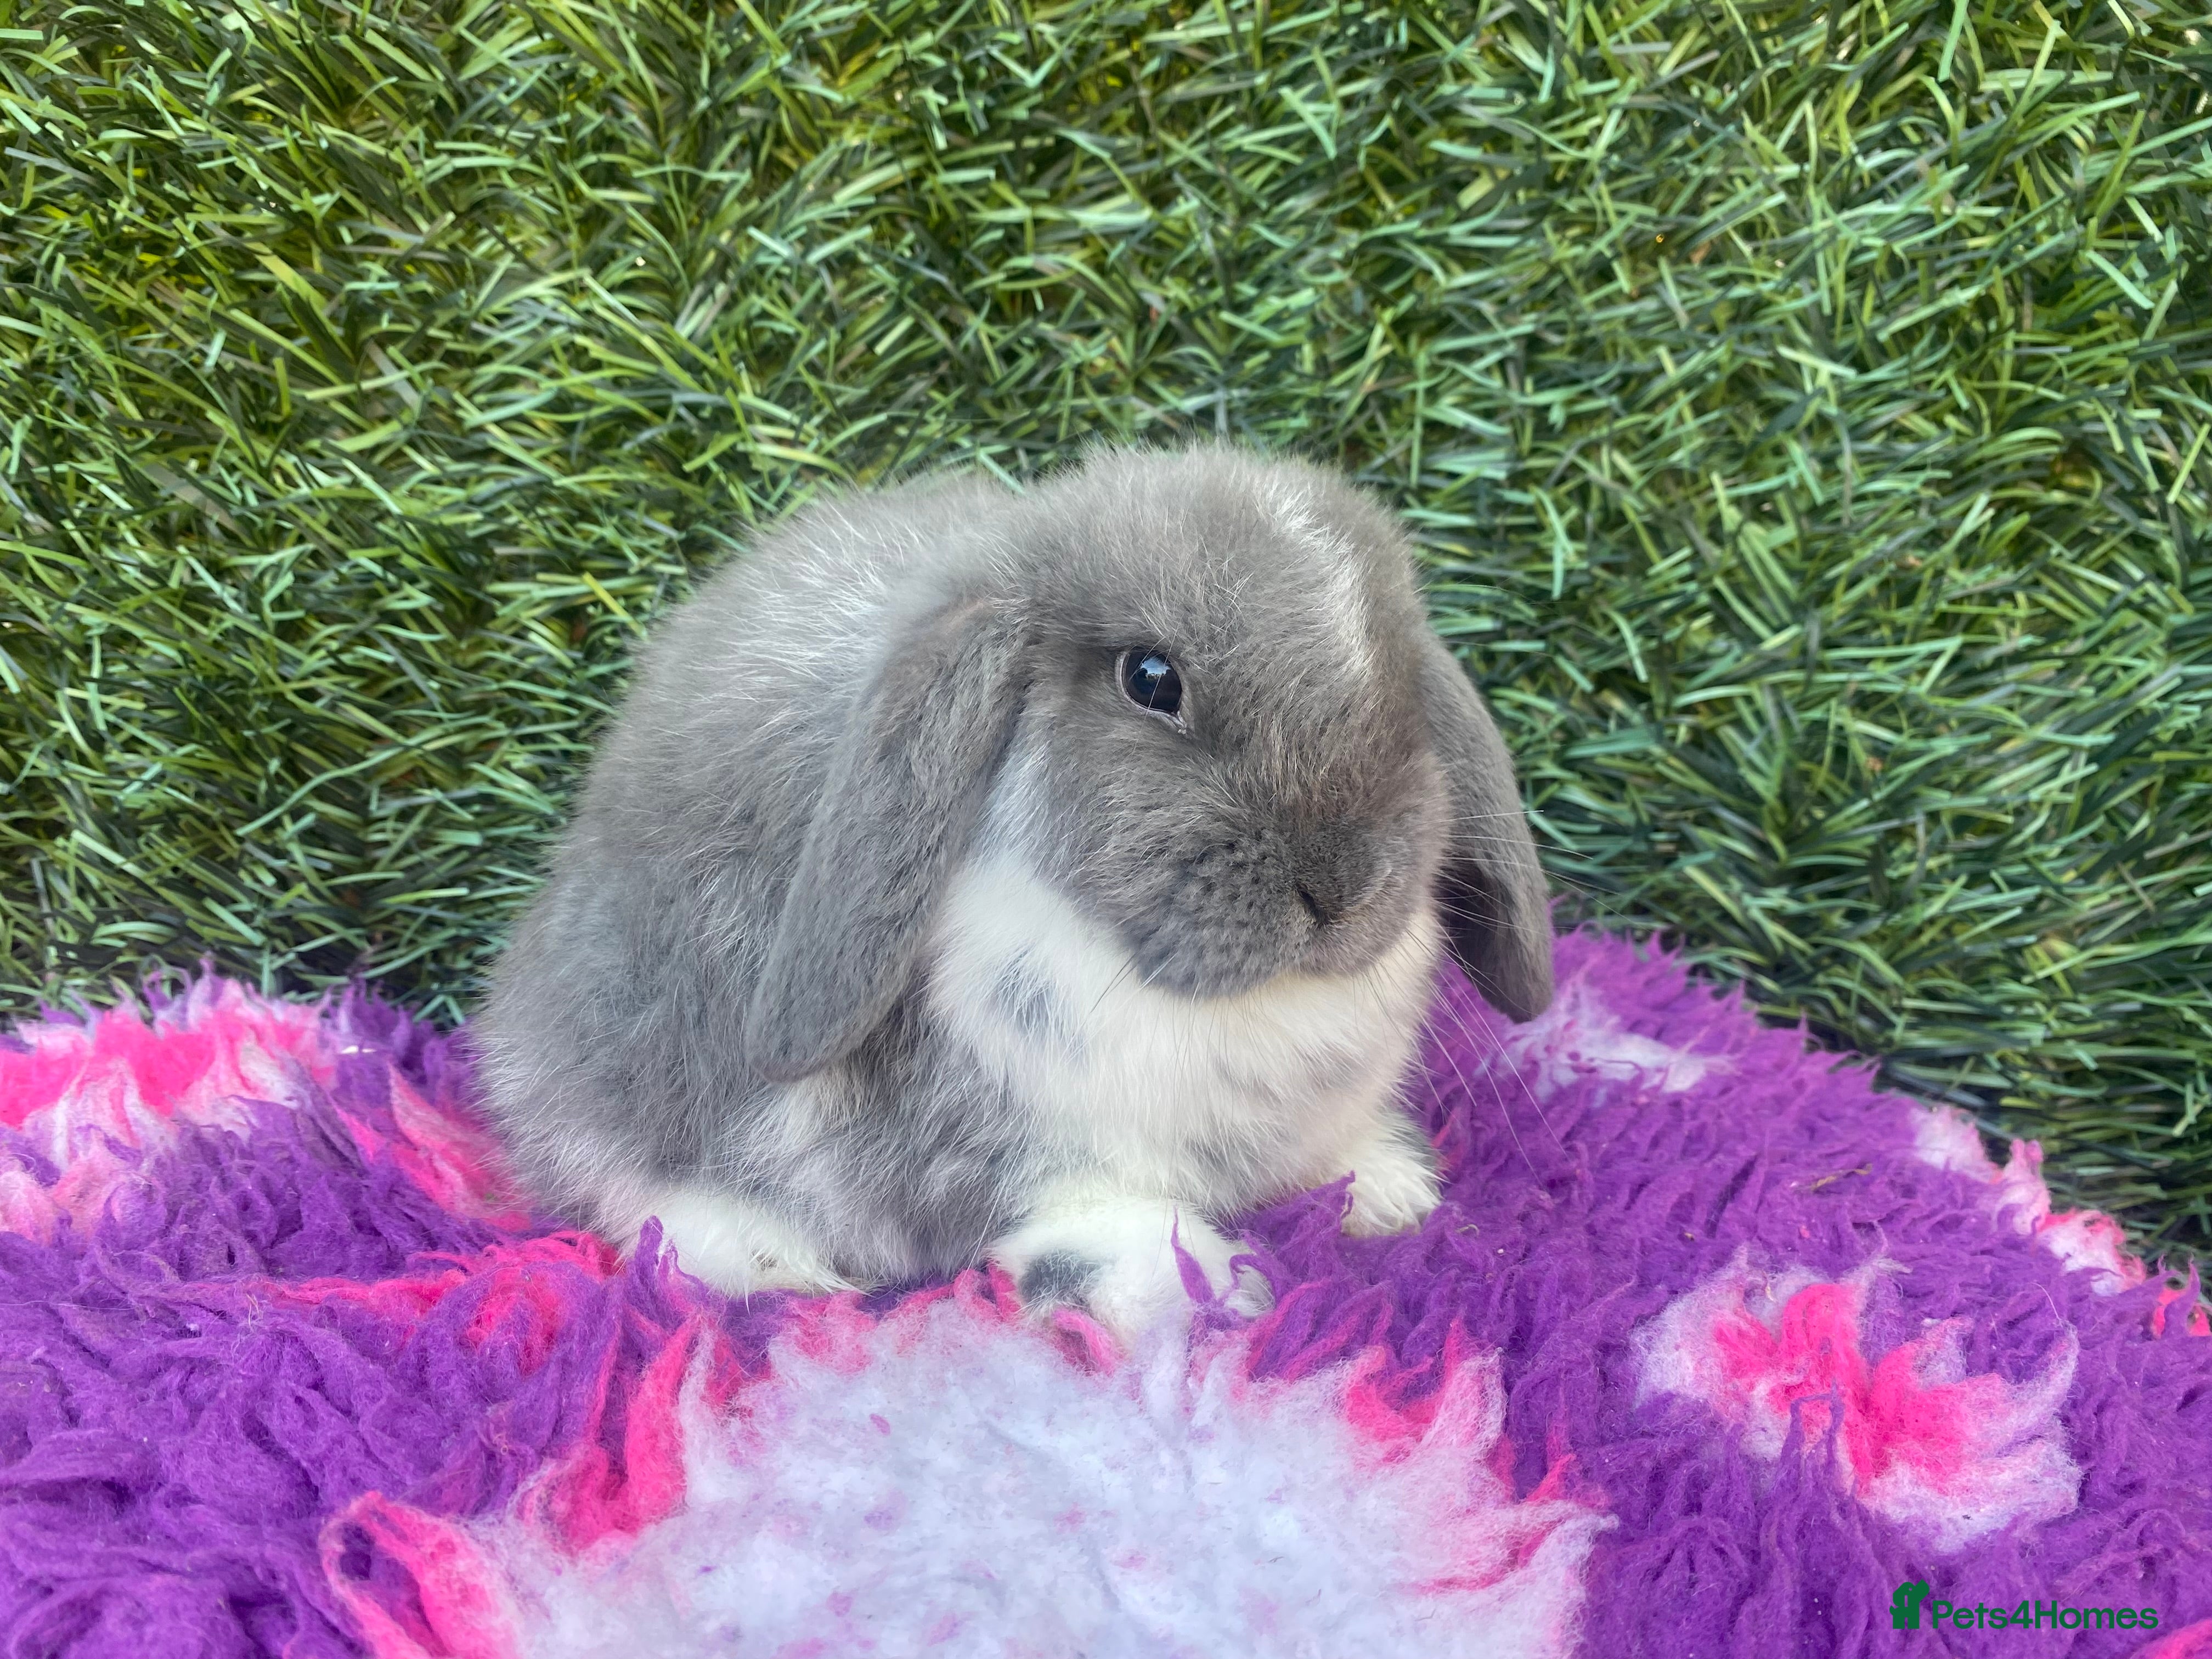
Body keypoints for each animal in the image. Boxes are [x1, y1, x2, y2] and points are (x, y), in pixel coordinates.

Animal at [472, 444, 1553, 1342]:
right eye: (1150, 678)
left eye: (1405, 686)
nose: (1343, 885)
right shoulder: (1021, 1147)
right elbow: (1086, 1215)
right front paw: (1201, 1287)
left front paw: (1392, 1190)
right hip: (610, 1050)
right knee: (621, 1180)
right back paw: (772, 1259)